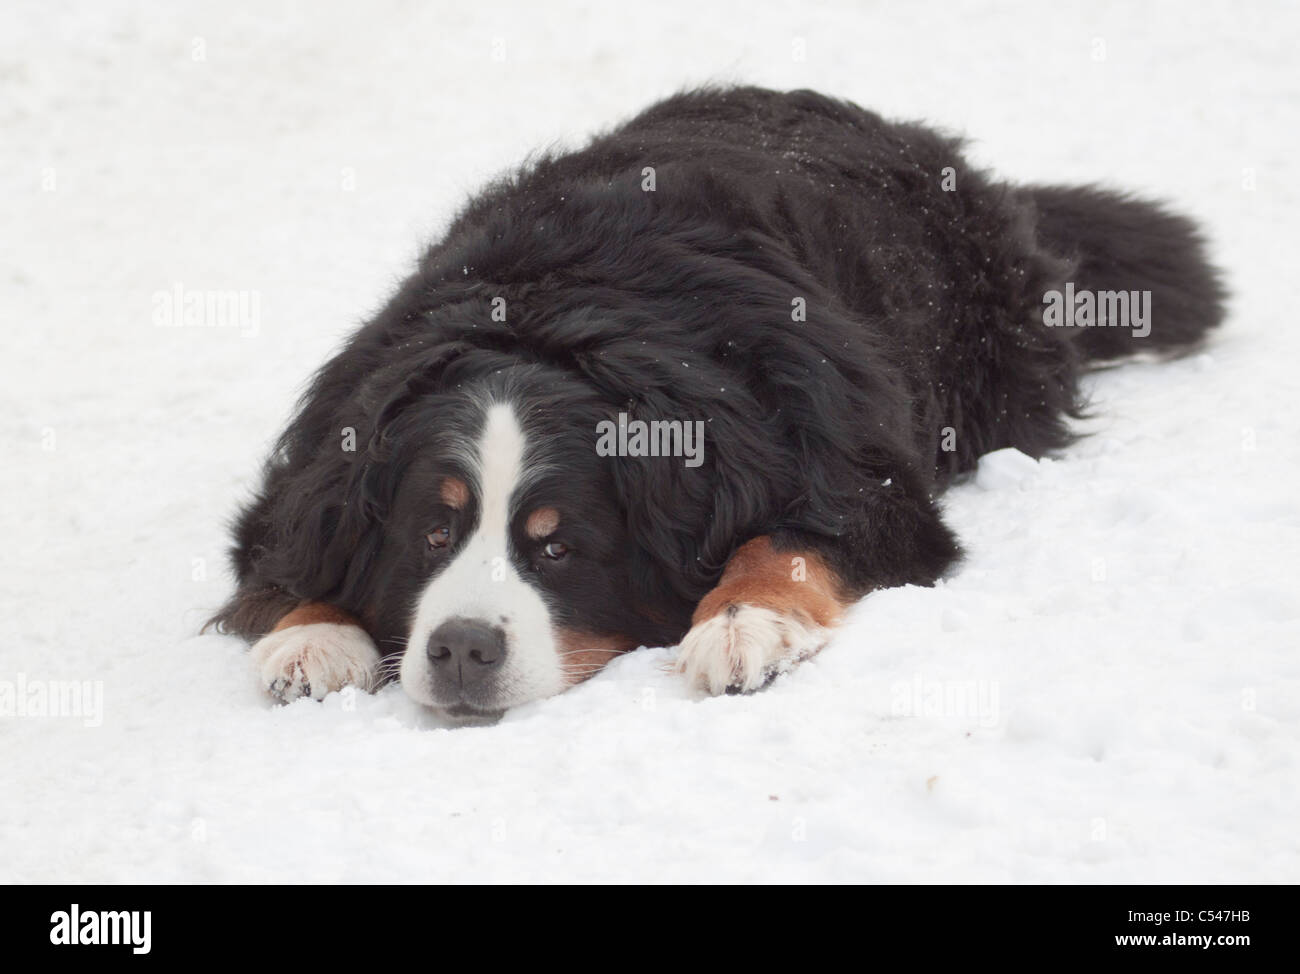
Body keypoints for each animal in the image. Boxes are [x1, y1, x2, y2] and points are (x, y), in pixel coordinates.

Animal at [208, 85, 1222, 723]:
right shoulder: (321, 449)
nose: (461, 648)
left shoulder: (854, 470)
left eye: (558, 547)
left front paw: (743, 626)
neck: (546, 318)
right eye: (430, 534)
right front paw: (312, 639)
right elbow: (287, 549)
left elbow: (789, 541)